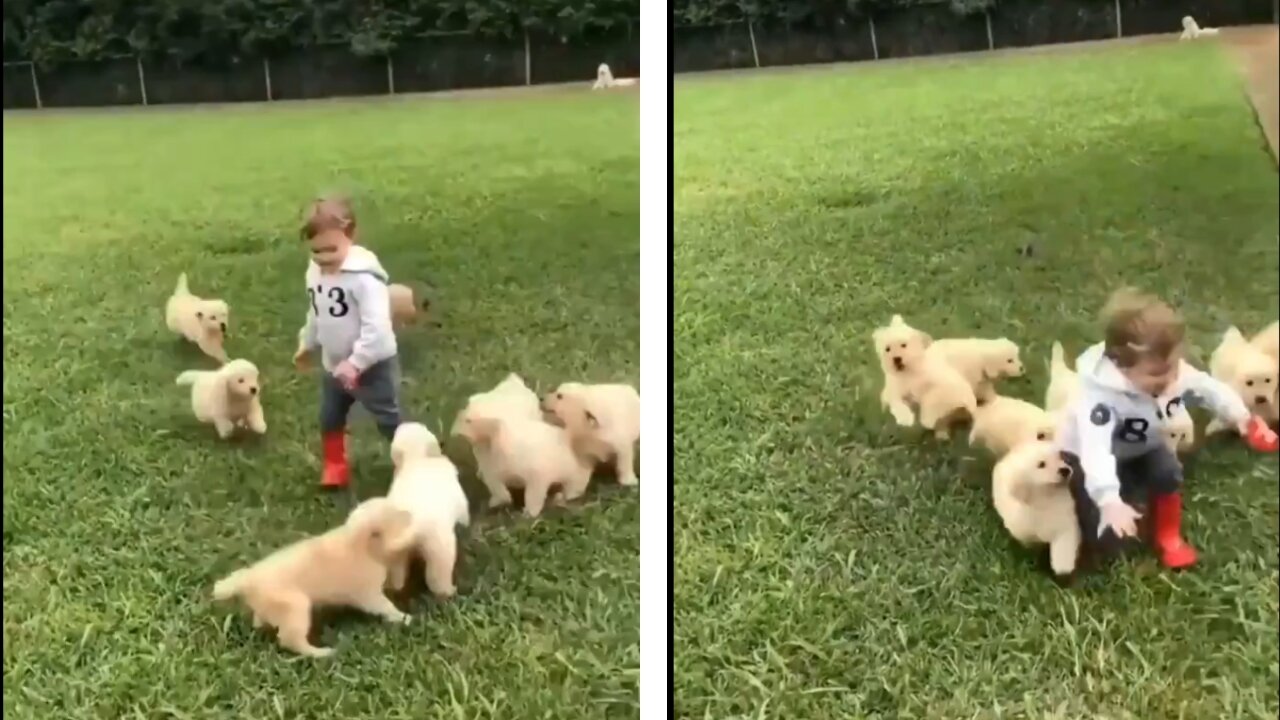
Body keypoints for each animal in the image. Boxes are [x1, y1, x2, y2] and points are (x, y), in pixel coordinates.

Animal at [212, 499, 414, 655]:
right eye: (397, 516)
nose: (410, 514)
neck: (360, 544)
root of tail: (247, 579)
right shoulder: (368, 595)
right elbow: (385, 606)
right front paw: (403, 617)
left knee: (261, 620)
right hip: (296, 607)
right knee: (290, 639)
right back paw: (321, 653)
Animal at [389, 422, 476, 597]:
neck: (416, 460)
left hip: (394, 550)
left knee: (397, 573)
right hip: (439, 545)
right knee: (437, 575)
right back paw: (449, 591)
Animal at [988, 438, 1080, 584]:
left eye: (1060, 457)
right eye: (1041, 464)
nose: (1065, 470)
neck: (1045, 501)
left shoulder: (1065, 527)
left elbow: (1063, 548)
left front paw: (1063, 572)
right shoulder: (1025, 534)